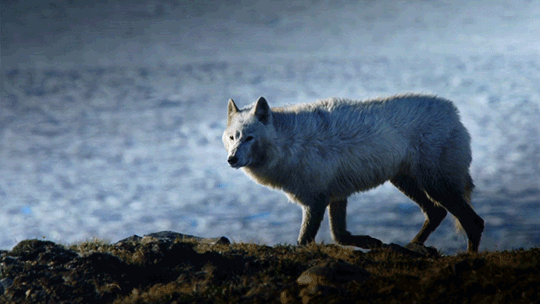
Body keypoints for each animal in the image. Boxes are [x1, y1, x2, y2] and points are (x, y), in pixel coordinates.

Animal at [224, 96, 486, 253]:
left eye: (249, 138)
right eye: (232, 137)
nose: (232, 159)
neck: (288, 144)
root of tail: (454, 113)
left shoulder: (315, 202)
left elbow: (305, 241)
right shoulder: (336, 196)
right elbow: (339, 236)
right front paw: (372, 242)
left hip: (436, 185)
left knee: (474, 221)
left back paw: (468, 257)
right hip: (406, 182)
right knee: (436, 213)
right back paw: (411, 245)